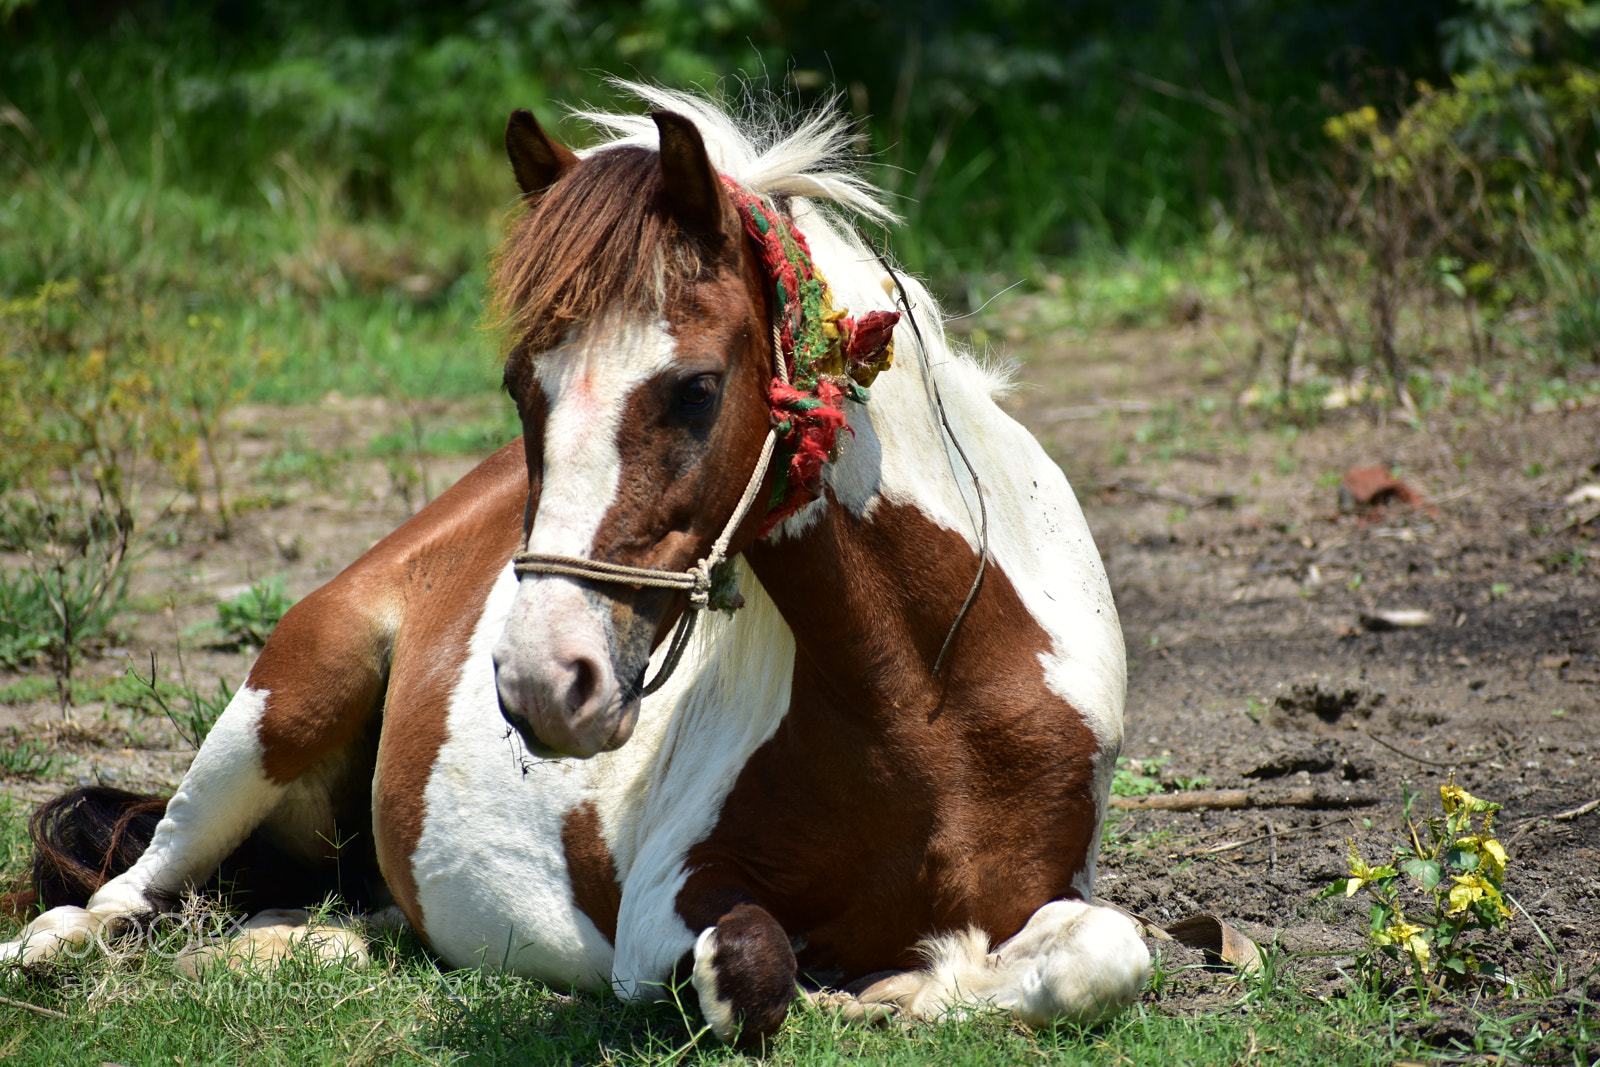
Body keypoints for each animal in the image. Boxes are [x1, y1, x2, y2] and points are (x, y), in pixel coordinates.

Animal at [0, 84, 1148, 1047]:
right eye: (522, 386)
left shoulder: (1056, 884)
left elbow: (1108, 954)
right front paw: (886, 989)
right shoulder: (662, 906)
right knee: (131, 887)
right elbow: (752, 970)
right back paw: (53, 948)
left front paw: (925, 985)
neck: (931, 702)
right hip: (281, 705)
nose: (543, 679)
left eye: (695, 387)